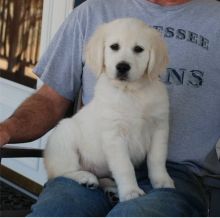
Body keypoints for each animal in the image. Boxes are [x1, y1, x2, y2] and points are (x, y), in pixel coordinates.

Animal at [44, 17, 174, 202]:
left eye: (138, 49)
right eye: (114, 46)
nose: (122, 67)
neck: (131, 92)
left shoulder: (159, 128)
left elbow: (157, 159)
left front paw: (162, 181)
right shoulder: (114, 135)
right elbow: (125, 166)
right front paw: (130, 191)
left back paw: (111, 188)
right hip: (64, 136)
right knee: (61, 173)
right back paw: (85, 178)